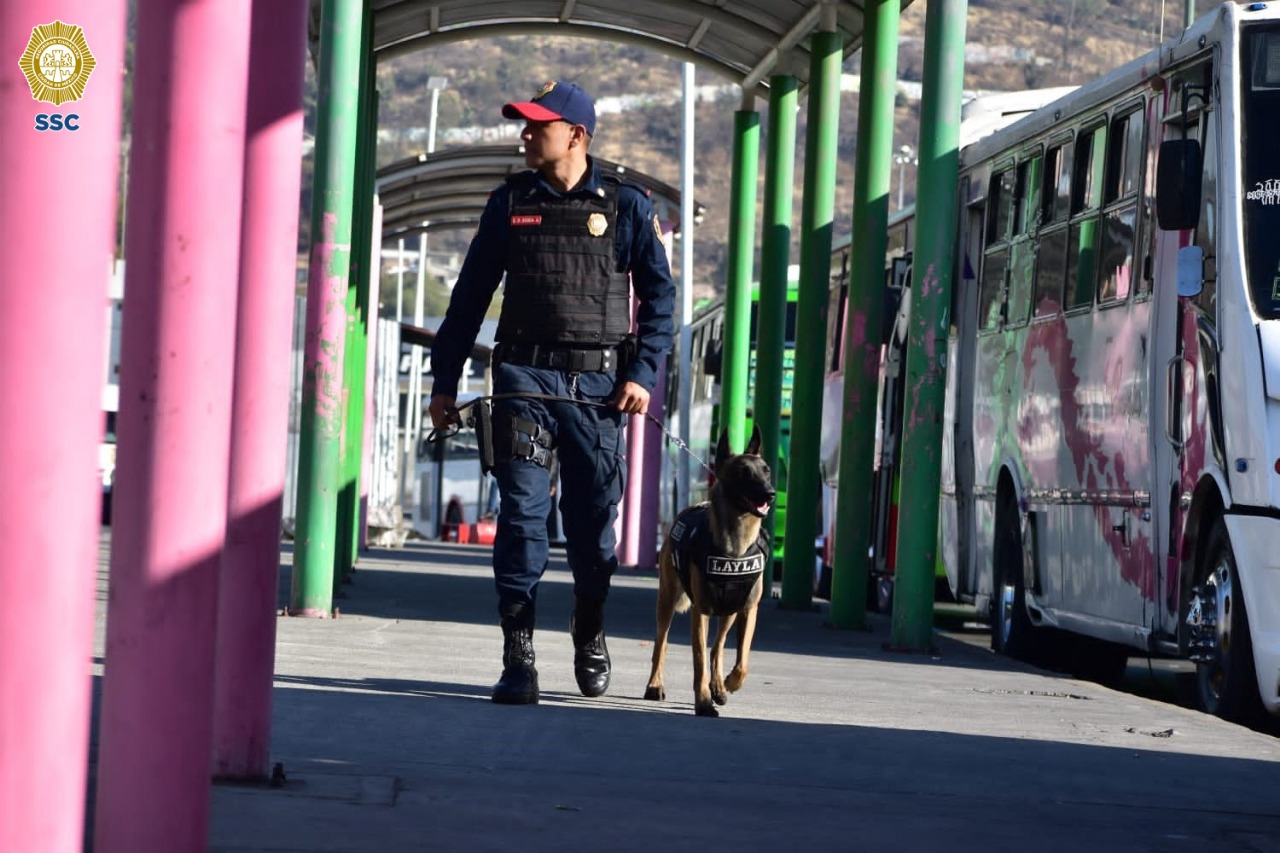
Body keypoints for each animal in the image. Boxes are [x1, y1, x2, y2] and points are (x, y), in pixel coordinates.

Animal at [645, 422, 773, 712]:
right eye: (743, 473)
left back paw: (719, 686)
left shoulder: (748, 609)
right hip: (666, 601)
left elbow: (742, 661)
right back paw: (655, 685)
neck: (735, 546)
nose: (770, 493)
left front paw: (728, 684)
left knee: (718, 646)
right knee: (662, 643)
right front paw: (703, 702)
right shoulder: (701, 611)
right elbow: (699, 661)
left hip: (728, 613)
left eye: (767, 471)